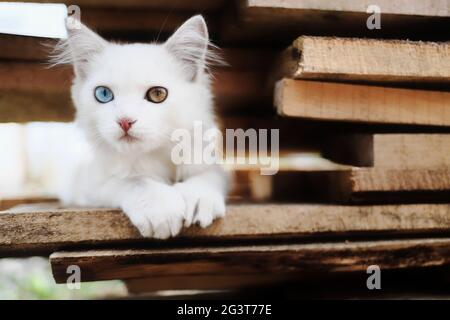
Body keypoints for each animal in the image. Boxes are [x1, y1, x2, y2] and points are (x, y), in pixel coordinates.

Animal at [51, 16, 230, 239]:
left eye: (157, 94)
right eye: (103, 94)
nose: (125, 121)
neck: (155, 156)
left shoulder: (209, 162)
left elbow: (207, 176)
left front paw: (198, 199)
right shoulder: (89, 183)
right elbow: (134, 180)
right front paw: (159, 207)